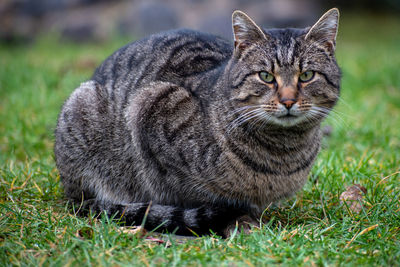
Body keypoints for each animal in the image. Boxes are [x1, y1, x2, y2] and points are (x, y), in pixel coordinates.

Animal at [53, 8, 340, 238]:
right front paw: (238, 221)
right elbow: (197, 199)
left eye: (307, 75)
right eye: (266, 76)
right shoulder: (152, 107)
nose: (288, 101)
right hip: (83, 107)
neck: (282, 153)